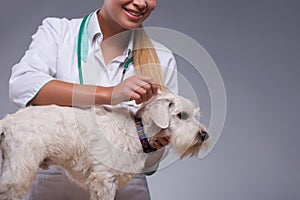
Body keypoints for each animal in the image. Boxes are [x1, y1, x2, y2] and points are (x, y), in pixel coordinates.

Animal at [0, 92, 210, 200]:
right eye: (181, 115)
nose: (204, 135)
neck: (137, 131)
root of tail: (8, 121)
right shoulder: (105, 180)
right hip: (18, 172)